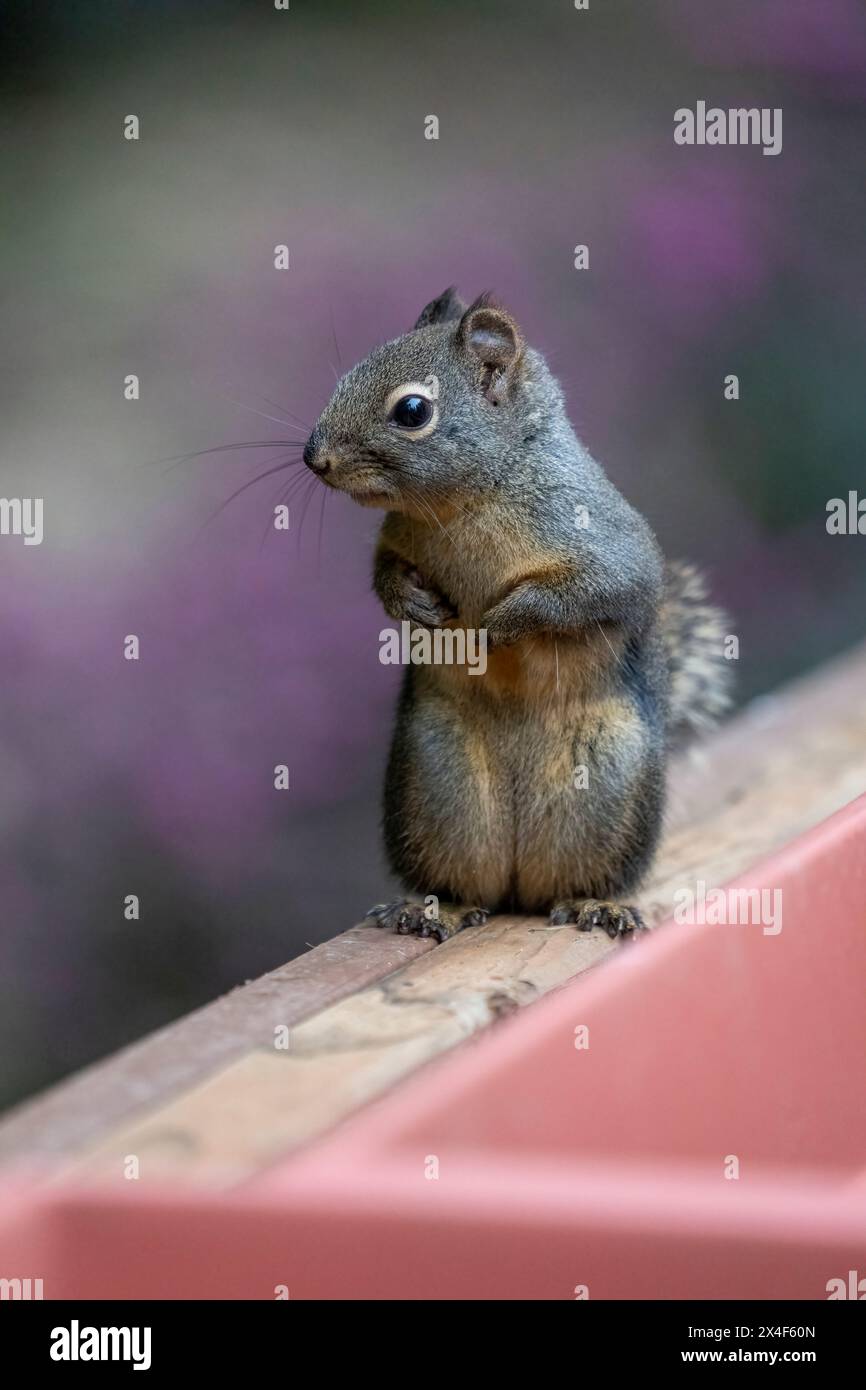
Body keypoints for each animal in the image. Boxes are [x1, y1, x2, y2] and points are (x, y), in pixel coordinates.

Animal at [303, 288, 732, 941]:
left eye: (412, 411)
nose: (314, 457)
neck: (467, 501)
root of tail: (517, 884)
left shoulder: (607, 545)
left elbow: (588, 592)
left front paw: (494, 625)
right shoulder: (395, 539)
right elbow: (385, 573)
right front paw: (412, 604)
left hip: (606, 786)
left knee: (574, 877)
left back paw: (591, 904)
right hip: (434, 779)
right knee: (466, 880)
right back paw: (438, 908)